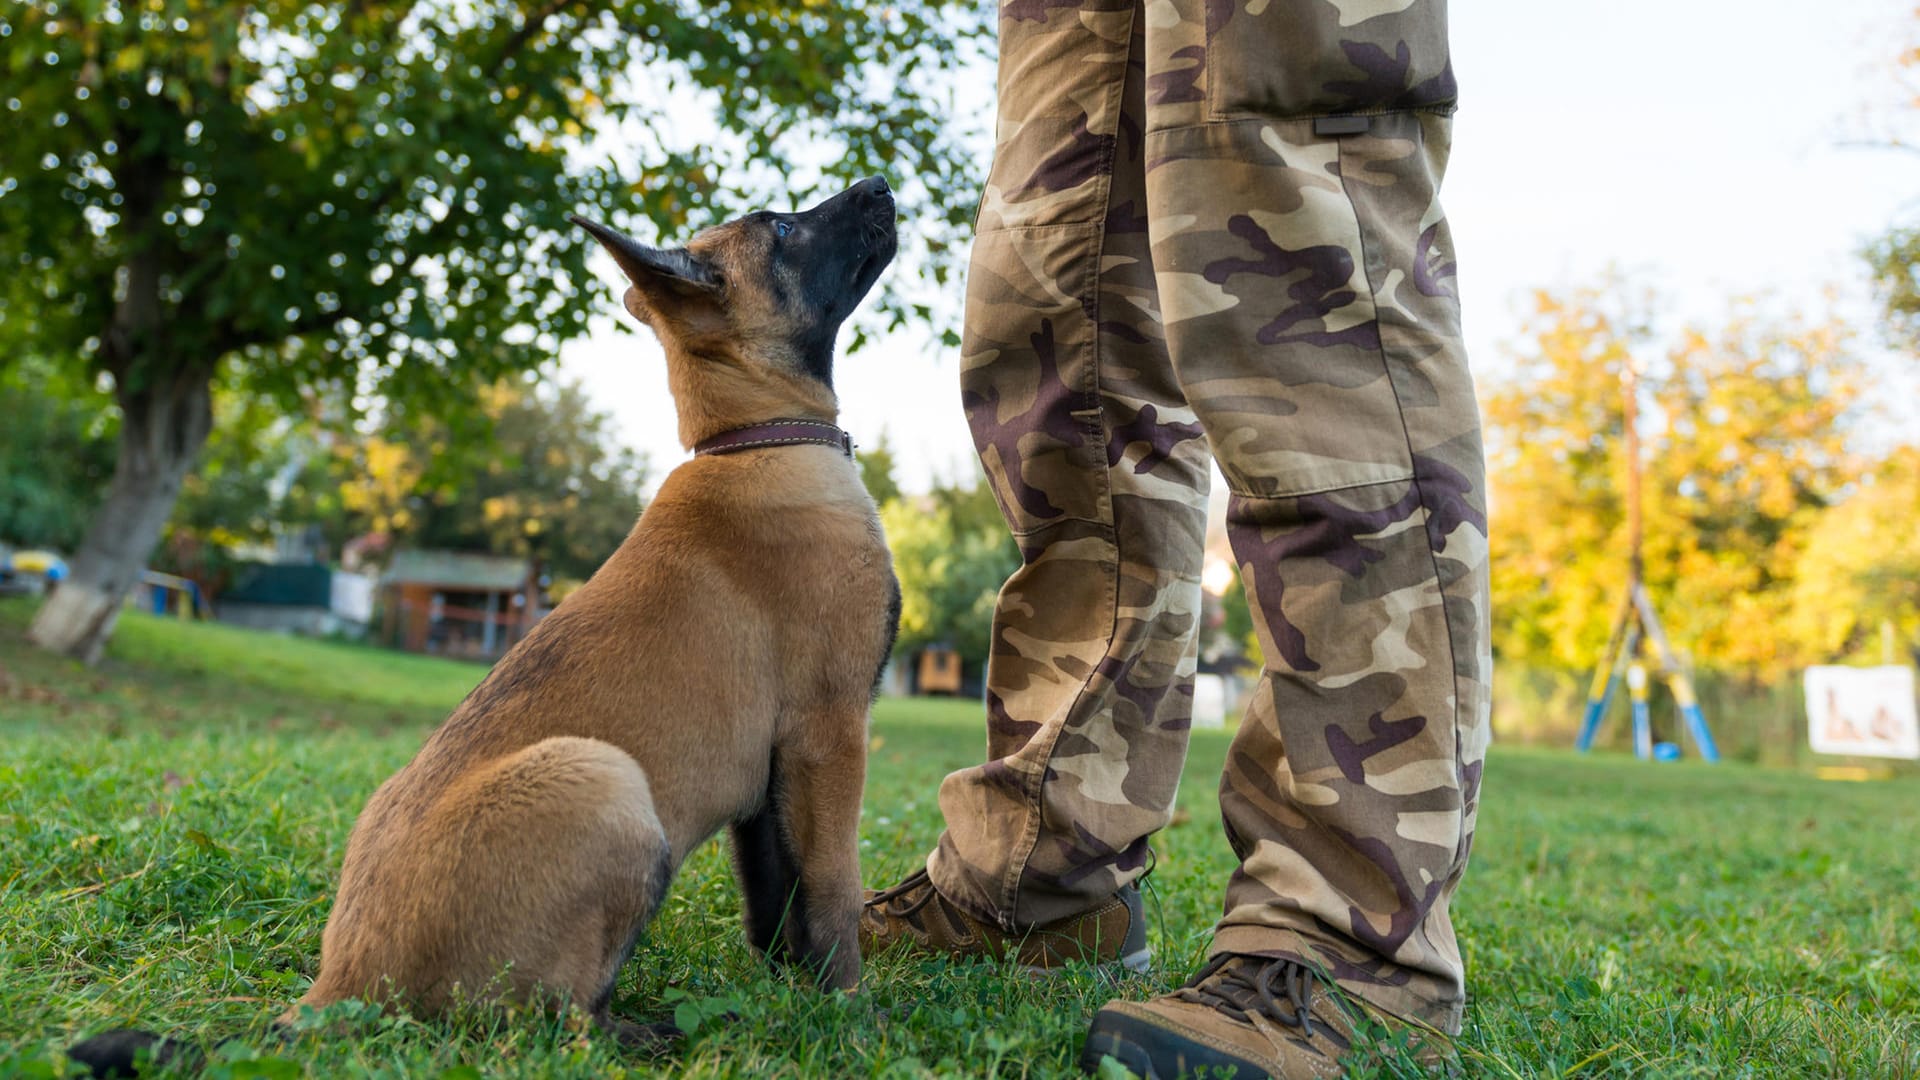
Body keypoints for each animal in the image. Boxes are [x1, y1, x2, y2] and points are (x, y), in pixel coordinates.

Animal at [61, 174, 898, 1068]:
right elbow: (835, 889)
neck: (756, 441)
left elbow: (779, 904)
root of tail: (339, 989)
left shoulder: (772, 777)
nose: (880, 185)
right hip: (602, 778)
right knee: (559, 1024)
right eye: (782, 229)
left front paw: (795, 997)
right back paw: (659, 1033)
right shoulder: (828, 732)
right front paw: (851, 1014)